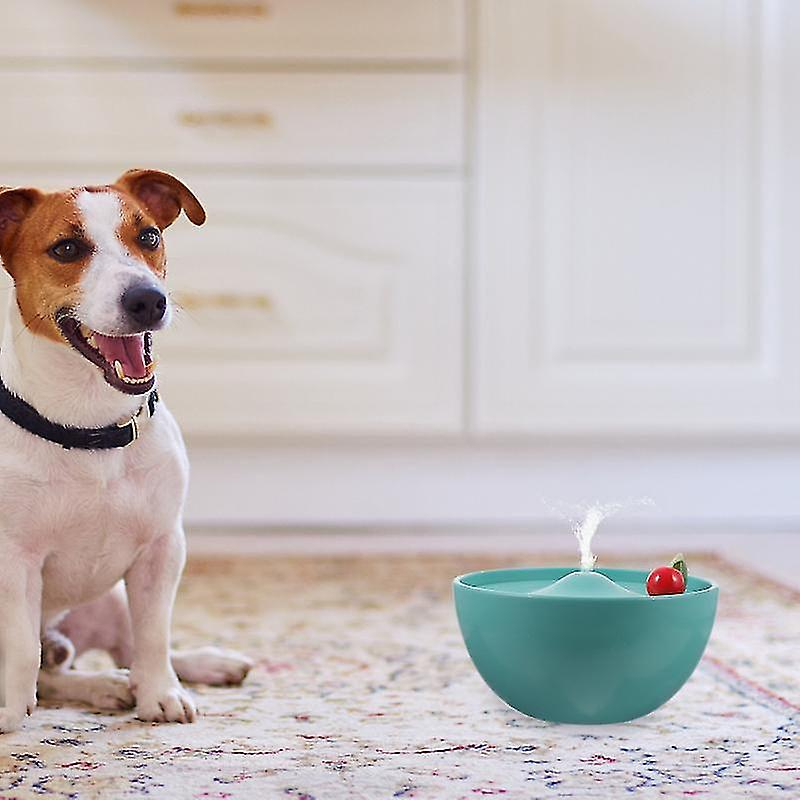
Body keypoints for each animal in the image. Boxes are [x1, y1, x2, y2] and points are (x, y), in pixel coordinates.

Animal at [0, 169, 252, 732]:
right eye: (67, 248)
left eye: (149, 237)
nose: (147, 300)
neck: (91, 424)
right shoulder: (15, 560)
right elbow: (21, 649)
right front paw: (8, 711)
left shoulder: (162, 547)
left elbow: (154, 636)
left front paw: (160, 694)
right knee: (50, 668)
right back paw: (100, 686)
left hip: (110, 599)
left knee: (121, 650)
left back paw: (189, 668)